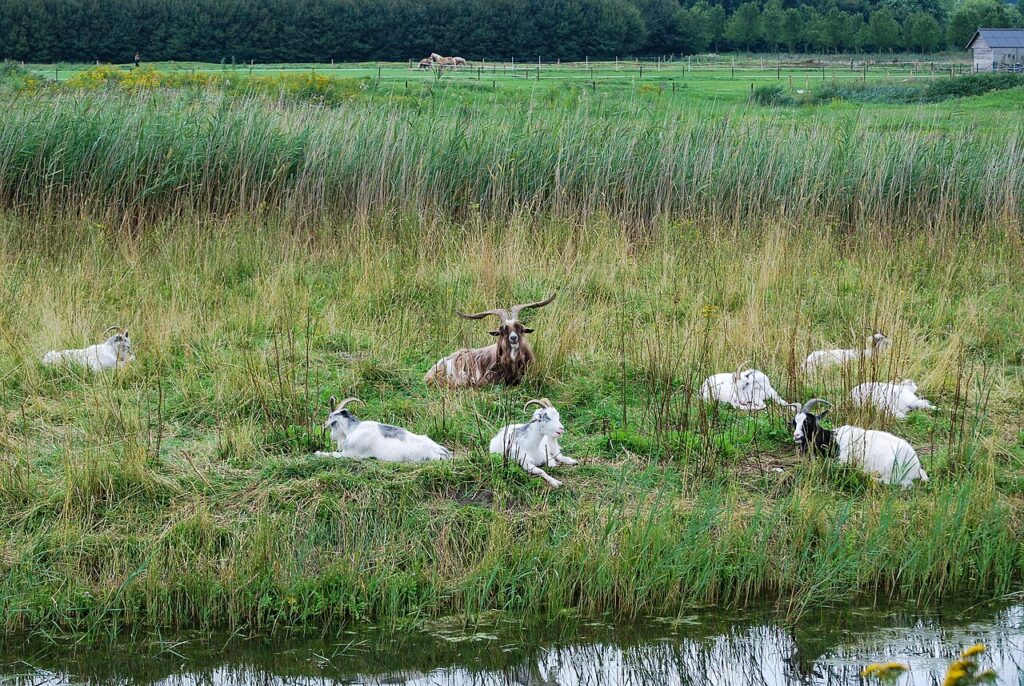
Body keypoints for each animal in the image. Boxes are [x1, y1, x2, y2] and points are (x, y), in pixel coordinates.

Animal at [314, 397, 452, 462]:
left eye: (332, 423)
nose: (331, 436)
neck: (354, 429)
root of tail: (444, 452)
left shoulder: (350, 454)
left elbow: (330, 454)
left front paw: (317, 453)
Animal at [791, 399, 928, 488]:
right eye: (794, 422)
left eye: (808, 421)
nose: (796, 435)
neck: (831, 439)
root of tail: (916, 465)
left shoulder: (842, 461)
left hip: (893, 472)